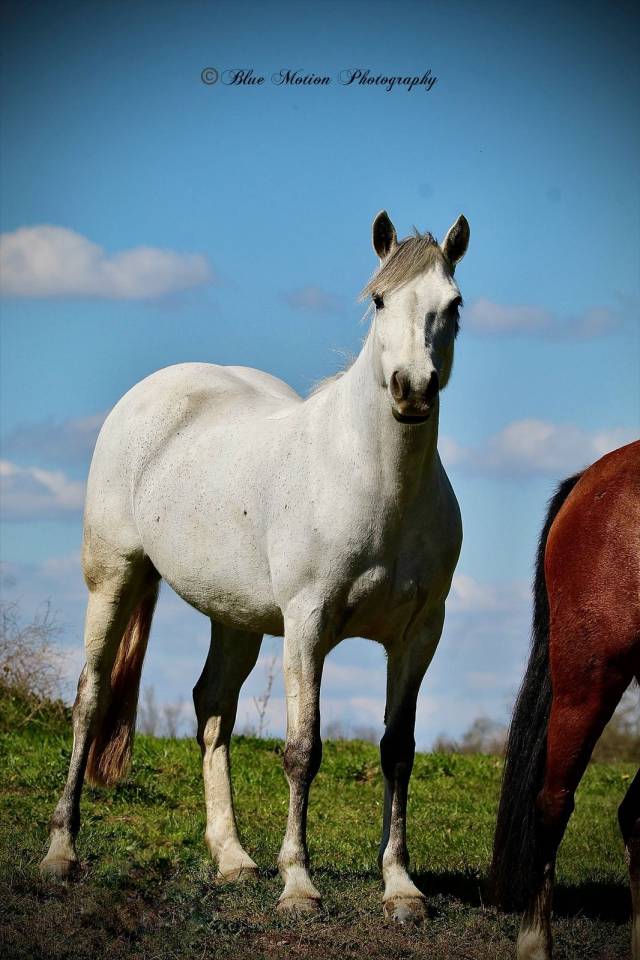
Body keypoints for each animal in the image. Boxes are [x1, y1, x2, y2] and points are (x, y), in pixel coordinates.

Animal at [40, 209, 470, 921]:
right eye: (381, 300)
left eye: (454, 304)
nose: (412, 391)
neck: (375, 483)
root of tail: (152, 394)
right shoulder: (307, 624)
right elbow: (302, 750)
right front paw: (298, 884)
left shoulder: (419, 636)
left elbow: (398, 752)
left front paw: (401, 887)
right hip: (113, 578)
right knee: (90, 697)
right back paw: (61, 851)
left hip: (235, 618)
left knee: (212, 707)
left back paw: (233, 858)